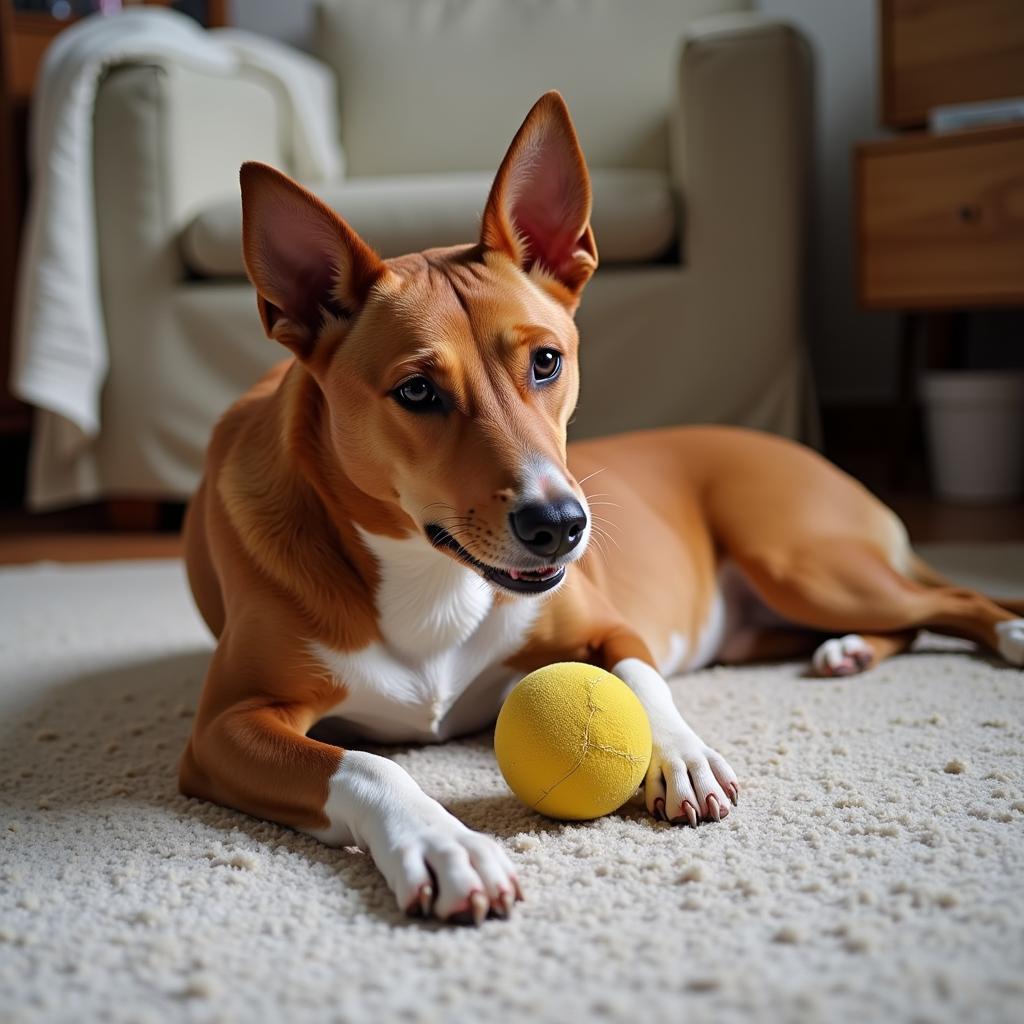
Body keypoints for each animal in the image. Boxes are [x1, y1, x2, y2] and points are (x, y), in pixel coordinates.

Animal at [182, 92, 1024, 925]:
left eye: (546, 361)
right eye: (417, 391)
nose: (559, 526)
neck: (429, 578)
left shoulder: (608, 626)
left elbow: (644, 681)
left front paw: (682, 756)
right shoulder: (224, 728)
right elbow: (362, 765)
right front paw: (443, 842)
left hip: (803, 563)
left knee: (955, 599)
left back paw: (998, 634)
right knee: (913, 618)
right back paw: (850, 650)